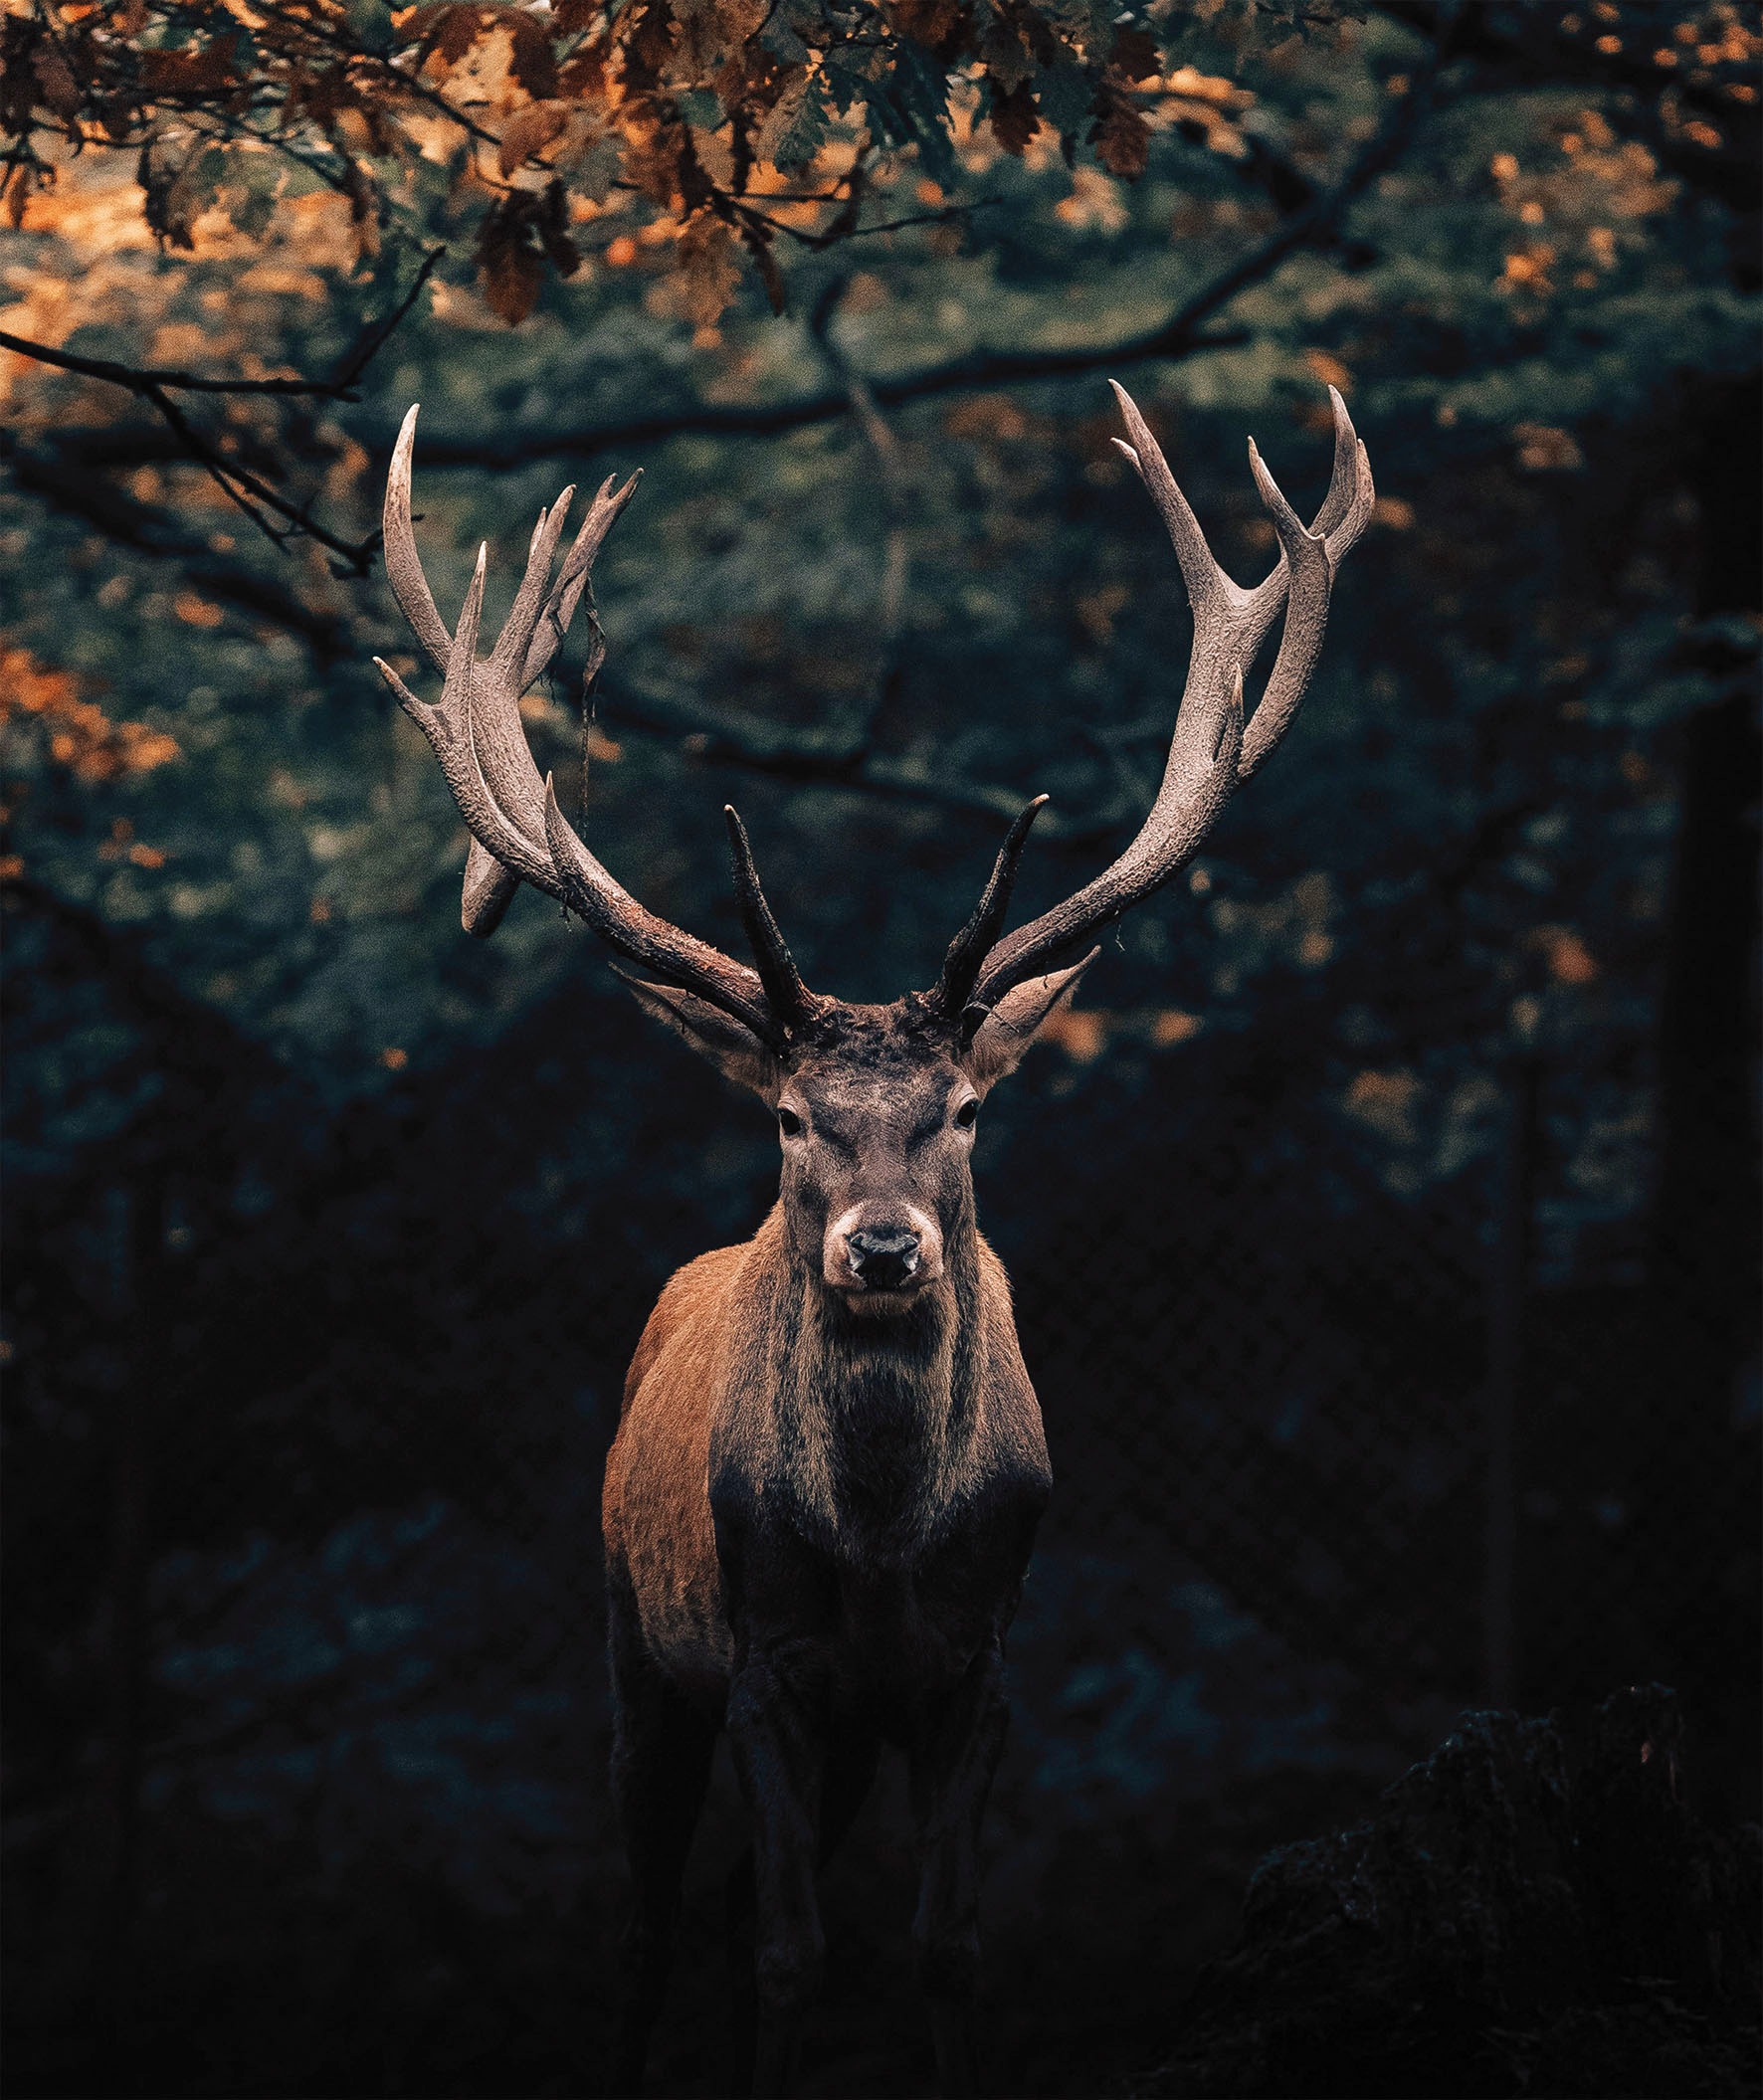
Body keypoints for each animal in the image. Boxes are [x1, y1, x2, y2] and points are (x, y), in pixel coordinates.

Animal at [373, 381, 1372, 2097]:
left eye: (962, 1107)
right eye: (788, 1116)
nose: (886, 1248)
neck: (891, 1542)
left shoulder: (981, 1665)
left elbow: (943, 1945)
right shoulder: (767, 1657)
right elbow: (791, 1951)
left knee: (721, 1911)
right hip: (637, 1638)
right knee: (654, 1921)